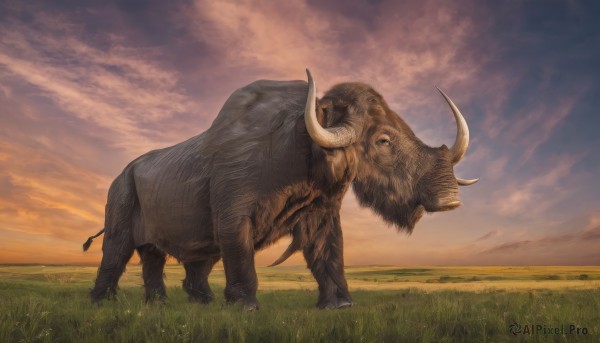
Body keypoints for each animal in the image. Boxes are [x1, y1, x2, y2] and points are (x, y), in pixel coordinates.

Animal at [83, 70, 478, 312]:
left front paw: (339, 304)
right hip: (120, 210)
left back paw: (176, 304)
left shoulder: (321, 213)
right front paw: (245, 307)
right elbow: (242, 257)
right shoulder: (232, 215)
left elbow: (328, 253)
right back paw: (102, 303)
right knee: (115, 256)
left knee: (165, 262)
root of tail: (122, 174)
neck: (297, 148)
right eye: (382, 139)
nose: (450, 197)